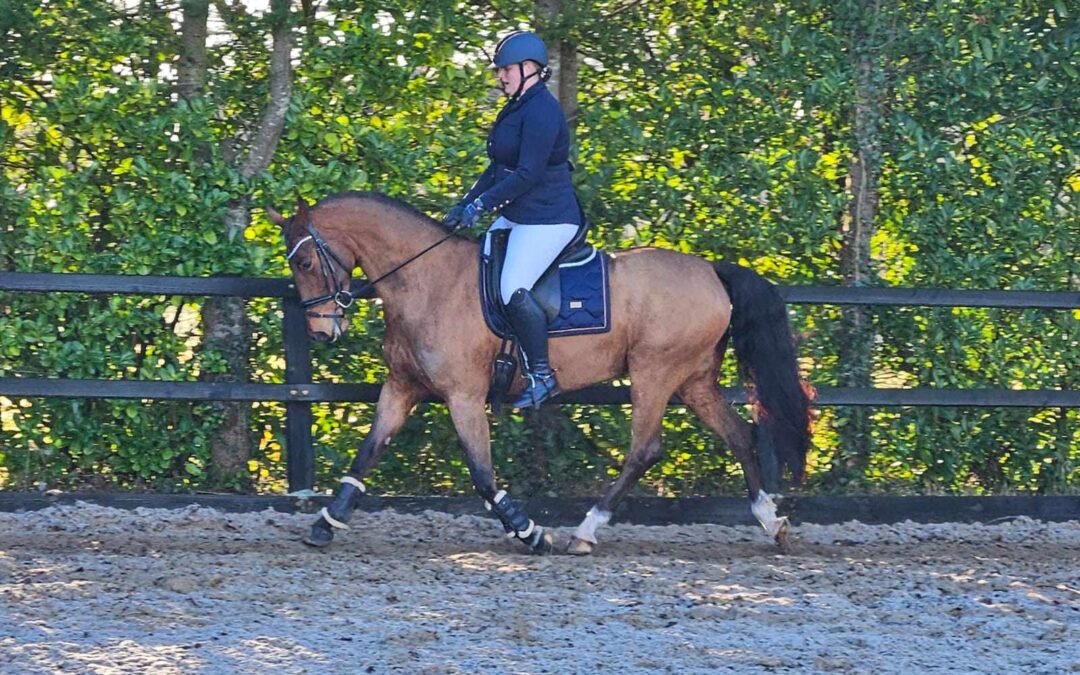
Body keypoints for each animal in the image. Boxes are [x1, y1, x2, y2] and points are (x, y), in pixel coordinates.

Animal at [267, 190, 812, 552]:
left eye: (308, 263)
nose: (322, 332)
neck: (426, 280)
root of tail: (712, 271)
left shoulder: (463, 395)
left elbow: (482, 474)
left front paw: (528, 531)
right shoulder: (402, 387)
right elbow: (367, 453)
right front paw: (327, 522)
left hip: (654, 372)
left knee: (645, 449)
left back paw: (585, 530)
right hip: (694, 380)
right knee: (738, 435)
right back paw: (770, 520)